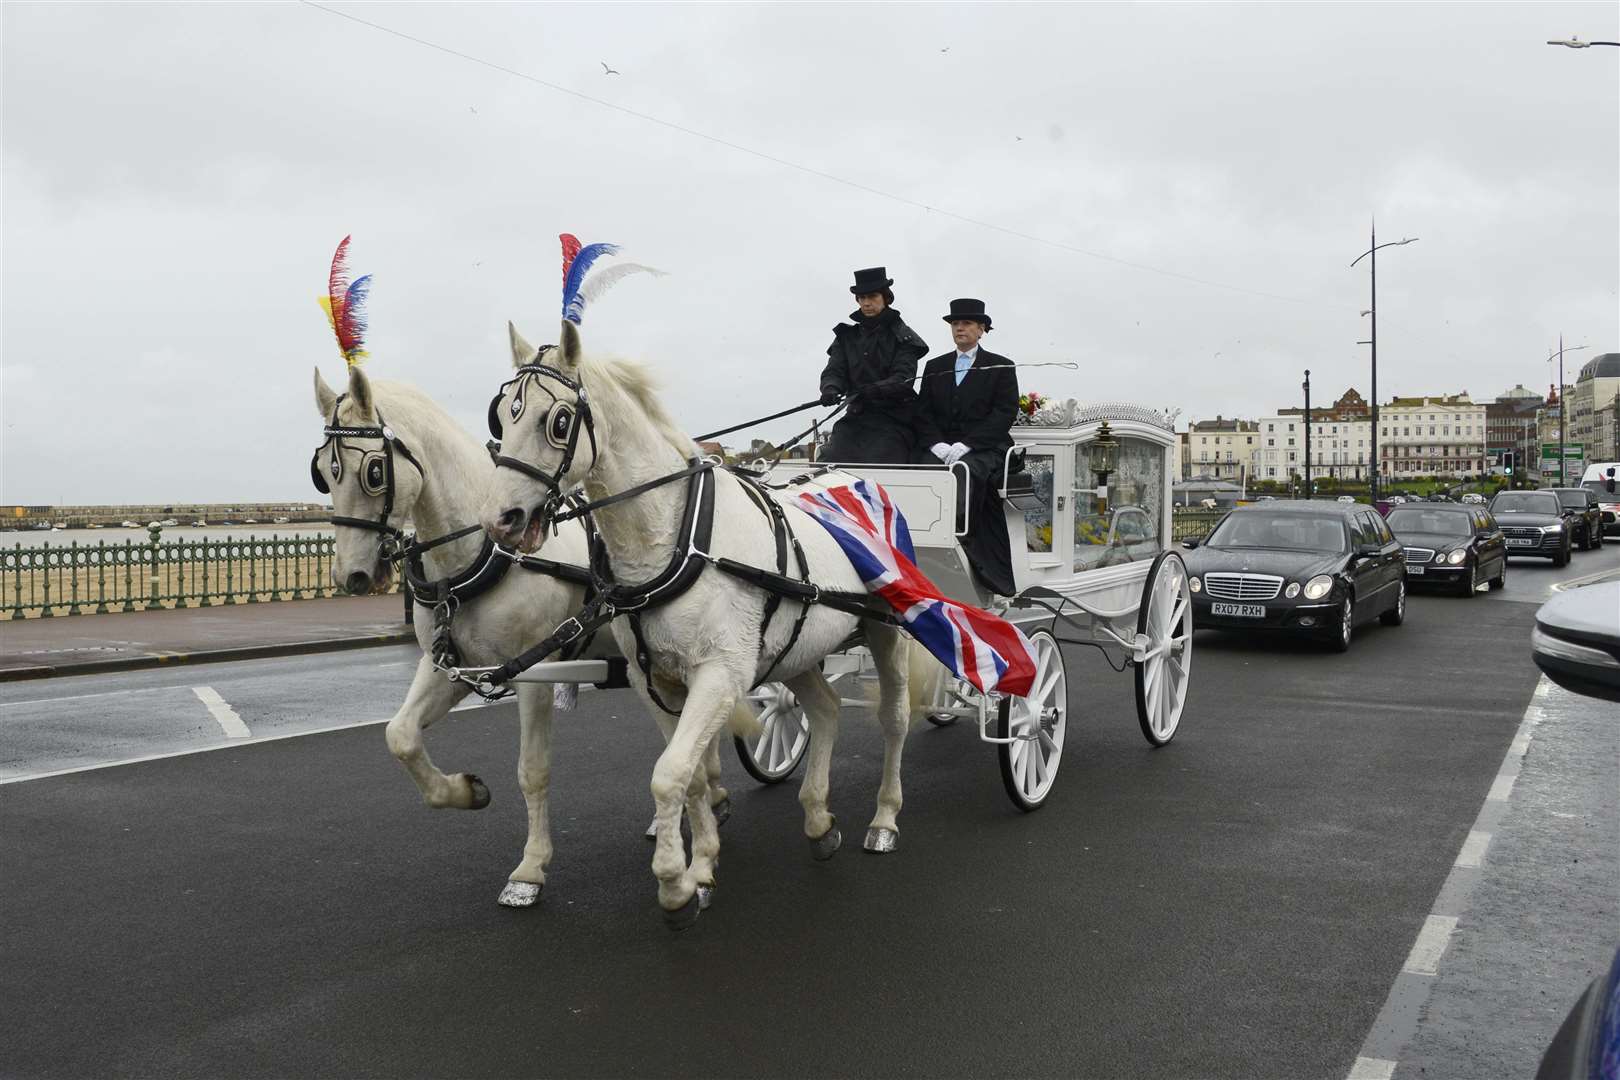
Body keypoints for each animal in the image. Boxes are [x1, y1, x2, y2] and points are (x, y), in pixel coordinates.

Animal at [311, 367, 741, 906]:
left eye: (373, 471)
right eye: (322, 473)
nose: (352, 576)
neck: (483, 553)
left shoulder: (533, 673)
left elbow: (532, 771)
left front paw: (530, 869)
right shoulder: (449, 666)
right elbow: (400, 736)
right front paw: (464, 791)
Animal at [479, 320, 926, 932]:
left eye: (559, 420)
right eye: (502, 416)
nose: (502, 521)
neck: (675, 537)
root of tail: (857, 480)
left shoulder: (721, 674)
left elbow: (668, 774)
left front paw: (674, 885)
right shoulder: (656, 680)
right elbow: (688, 772)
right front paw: (702, 865)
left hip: (888, 632)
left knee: (894, 719)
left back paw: (884, 818)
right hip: (799, 648)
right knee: (826, 710)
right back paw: (817, 819)